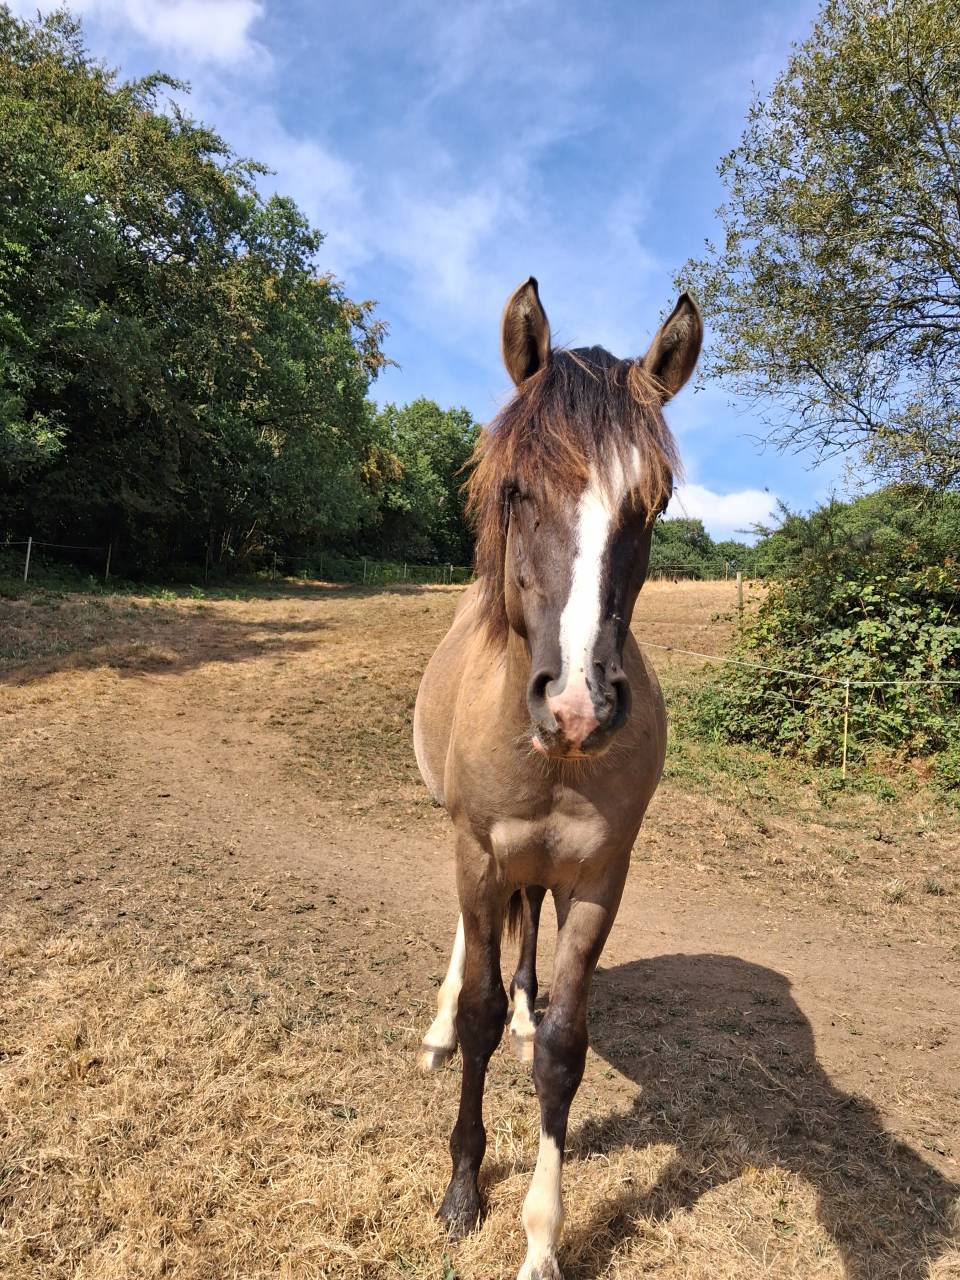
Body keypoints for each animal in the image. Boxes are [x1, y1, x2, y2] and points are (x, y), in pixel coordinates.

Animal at [413, 277, 702, 1280]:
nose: (576, 705)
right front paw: (464, 1191)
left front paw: (542, 1234)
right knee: (471, 949)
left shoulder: (599, 879)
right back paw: (437, 1028)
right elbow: (477, 1012)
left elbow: (565, 1052)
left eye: (651, 504)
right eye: (515, 489)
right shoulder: (474, 851)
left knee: (526, 930)